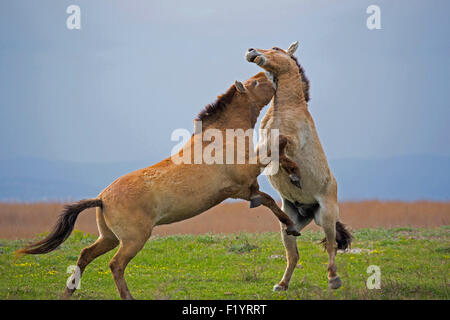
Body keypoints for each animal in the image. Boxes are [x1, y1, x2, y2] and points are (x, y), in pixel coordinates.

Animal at [16, 72, 302, 300]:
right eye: (255, 82)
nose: (272, 77)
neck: (220, 138)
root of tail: (102, 198)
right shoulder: (242, 180)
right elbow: (274, 153)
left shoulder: (244, 190)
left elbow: (268, 198)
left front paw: (291, 219)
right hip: (133, 240)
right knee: (115, 265)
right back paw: (127, 297)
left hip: (109, 237)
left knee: (86, 254)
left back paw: (69, 291)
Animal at [246, 43, 352, 292]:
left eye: (276, 48)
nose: (251, 51)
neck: (286, 109)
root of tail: (309, 211)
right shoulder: (261, 145)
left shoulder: (289, 142)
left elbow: (281, 146)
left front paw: (294, 174)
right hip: (290, 221)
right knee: (293, 254)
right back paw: (282, 284)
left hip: (327, 217)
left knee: (332, 246)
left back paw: (334, 280)